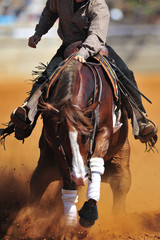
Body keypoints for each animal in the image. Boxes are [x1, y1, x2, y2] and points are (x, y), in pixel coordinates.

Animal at [29, 49, 131, 228]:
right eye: (61, 138)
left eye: (87, 135)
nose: (79, 176)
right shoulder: (54, 142)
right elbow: (67, 180)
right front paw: (69, 224)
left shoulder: (103, 132)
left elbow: (96, 162)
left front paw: (89, 212)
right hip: (45, 165)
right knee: (38, 183)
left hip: (121, 160)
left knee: (120, 184)